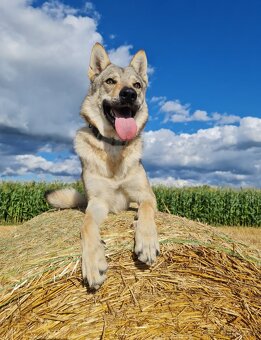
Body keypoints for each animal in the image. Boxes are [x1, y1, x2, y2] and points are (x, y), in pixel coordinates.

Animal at [45, 41, 158, 286]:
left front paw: (146, 240)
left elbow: (145, 210)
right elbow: (87, 225)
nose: (129, 94)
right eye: (110, 81)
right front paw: (93, 262)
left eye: (137, 85)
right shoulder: (97, 202)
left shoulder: (146, 195)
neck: (113, 148)